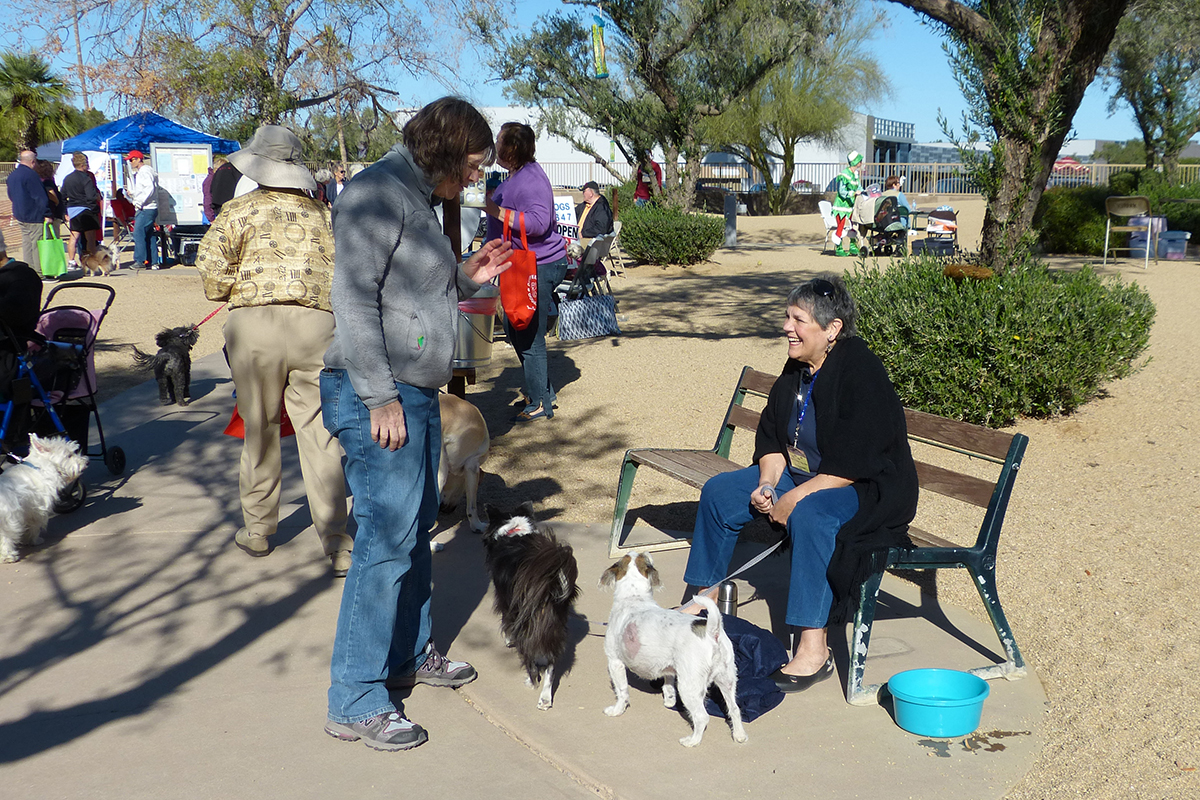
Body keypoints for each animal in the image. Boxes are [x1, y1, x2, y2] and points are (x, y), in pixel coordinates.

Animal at [484, 503, 583, 710]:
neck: (514, 531)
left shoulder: (505, 602)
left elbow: (506, 623)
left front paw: (508, 639)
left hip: (526, 624)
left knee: (531, 658)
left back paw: (531, 681)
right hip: (555, 628)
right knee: (551, 667)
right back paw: (545, 698)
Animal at [597, 554, 744, 748]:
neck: (634, 597)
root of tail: (712, 632)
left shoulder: (615, 662)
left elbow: (622, 691)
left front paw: (617, 710)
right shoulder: (668, 667)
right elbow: (668, 683)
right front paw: (669, 700)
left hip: (689, 685)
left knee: (702, 717)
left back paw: (692, 741)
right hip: (727, 679)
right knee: (734, 708)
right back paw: (739, 735)